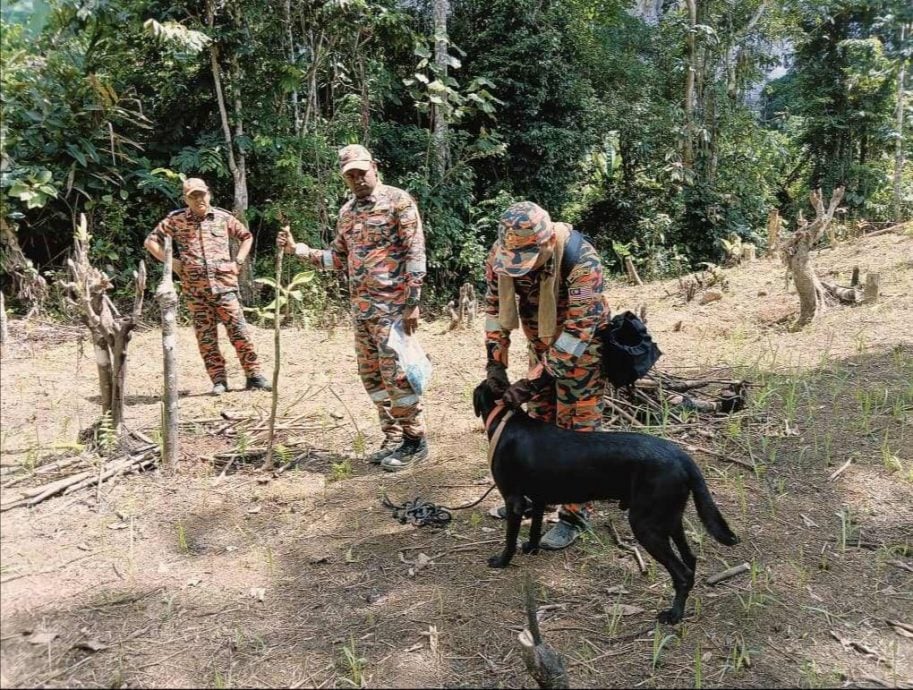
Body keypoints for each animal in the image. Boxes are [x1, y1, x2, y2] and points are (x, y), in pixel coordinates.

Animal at [474, 378, 736, 620]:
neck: (506, 419)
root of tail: (682, 456)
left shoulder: (514, 501)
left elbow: (510, 539)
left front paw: (502, 561)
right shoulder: (538, 498)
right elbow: (535, 527)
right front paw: (531, 548)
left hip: (646, 525)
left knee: (682, 573)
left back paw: (674, 615)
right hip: (669, 518)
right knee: (690, 559)